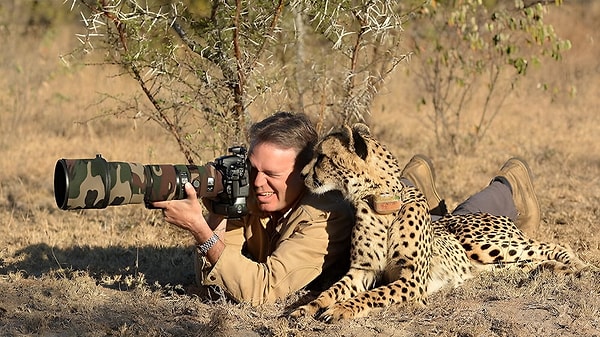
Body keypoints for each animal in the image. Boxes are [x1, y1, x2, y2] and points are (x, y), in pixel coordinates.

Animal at [290, 122, 592, 320]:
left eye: (322, 157)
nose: (302, 175)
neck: (380, 203)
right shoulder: (362, 271)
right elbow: (331, 290)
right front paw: (306, 307)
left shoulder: (412, 280)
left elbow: (370, 296)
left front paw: (341, 309)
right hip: (488, 265)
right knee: (526, 262)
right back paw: (553, 269)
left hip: (483, 244)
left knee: (552, 245)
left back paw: (578, 266)